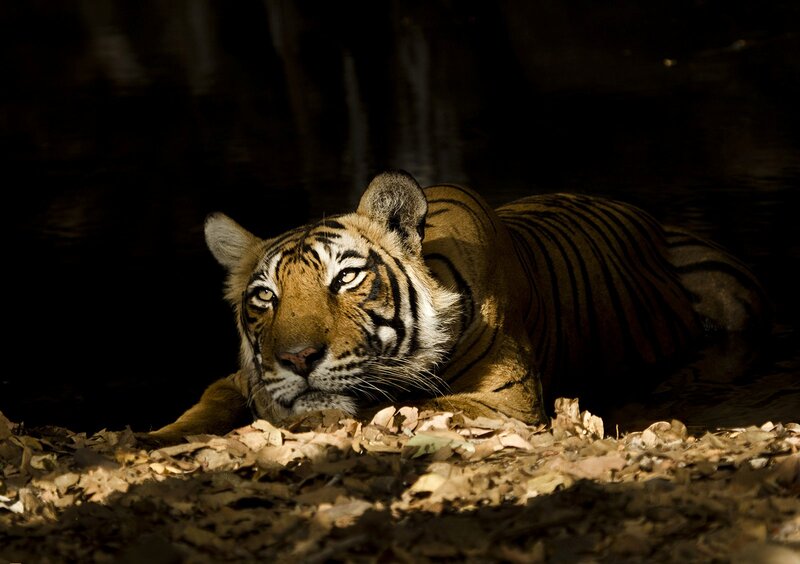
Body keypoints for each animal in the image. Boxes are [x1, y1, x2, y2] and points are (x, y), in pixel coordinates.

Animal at [149, 170, 771, 443]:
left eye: (347, 277)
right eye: (265, 297)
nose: (298, 359)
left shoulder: (508, 401)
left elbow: (403, 407)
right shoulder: (237, 378)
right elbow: (201, 408)